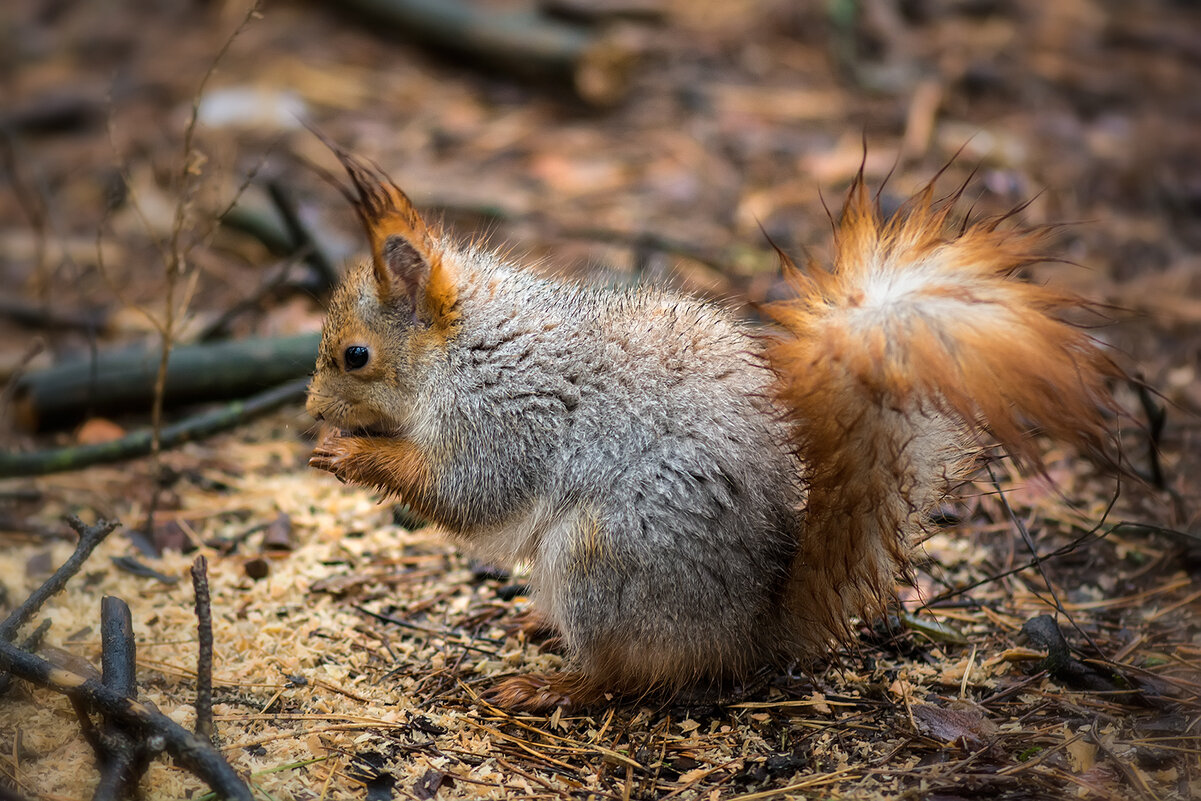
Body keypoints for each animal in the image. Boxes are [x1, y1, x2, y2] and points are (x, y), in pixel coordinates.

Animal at [302, 145, 1114, 715]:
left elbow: (468, 492)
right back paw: (540, 627)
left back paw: (557, 683)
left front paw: (351, 454)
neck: (468, 344)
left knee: (626, 674)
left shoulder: (507, 414)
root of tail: (746, 633)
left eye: (355, 356)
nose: (311, 409)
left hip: (602, 554)